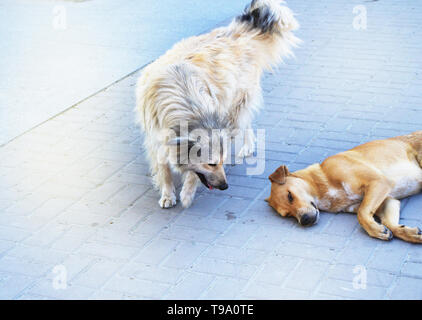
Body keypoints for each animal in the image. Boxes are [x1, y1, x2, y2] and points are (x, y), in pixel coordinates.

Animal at [135, 0, 300, 209]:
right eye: (211, 163)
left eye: (221, 161)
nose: (225, 187)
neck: (189, 107)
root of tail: (238, 31)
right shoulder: (155, 137)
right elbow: (163, 168)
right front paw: (167, 194)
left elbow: (192, 173)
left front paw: (187, 192)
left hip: (236, 103)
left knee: (243, 120)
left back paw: (247, 146)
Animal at [266, 130, 422, 242]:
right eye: (287, 215)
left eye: (289, 196)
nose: (304, 221)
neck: (322, 181)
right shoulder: (388, 201)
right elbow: (390, 224)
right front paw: (409, 233)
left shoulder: (379, 182)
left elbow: (361, 214)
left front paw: (375, 230)